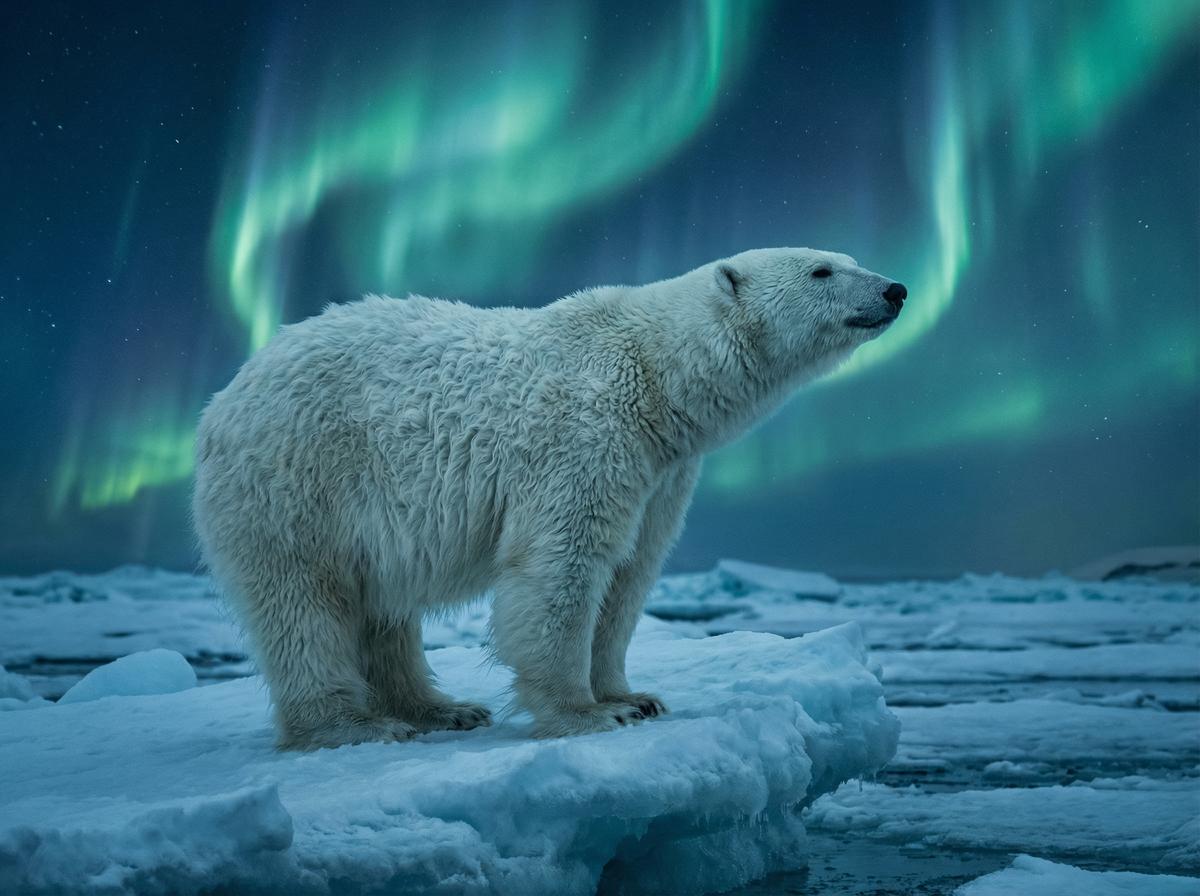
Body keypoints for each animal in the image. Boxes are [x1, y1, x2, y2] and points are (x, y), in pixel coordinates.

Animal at [192, 248, 906, 750]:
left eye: (846, 257)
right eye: (821, 269)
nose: (895, 289)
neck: (656, 372)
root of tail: (226, 396)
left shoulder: (662, 470)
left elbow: (630, 575)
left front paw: (634, 696)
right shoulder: (585, 432)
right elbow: (562, 564)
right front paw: (587, 714)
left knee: (382, 608)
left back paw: (443, 708)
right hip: (299, 479)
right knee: (304, 603)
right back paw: (353, 726)